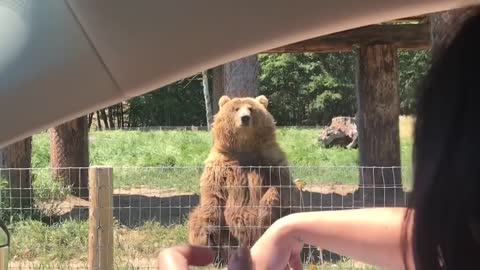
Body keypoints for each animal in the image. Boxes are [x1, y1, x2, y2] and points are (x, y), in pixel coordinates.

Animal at [188, 95, 300, 266]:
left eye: (251, 108)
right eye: (236, 109)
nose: (245, 118)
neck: (244, 148)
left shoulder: (271, 161)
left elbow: (281, 187)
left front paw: (265, 211)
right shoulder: (220, 166)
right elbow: (213, 194)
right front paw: (209, 233)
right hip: (227, 236)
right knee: (200, 219)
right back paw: (211, 254)